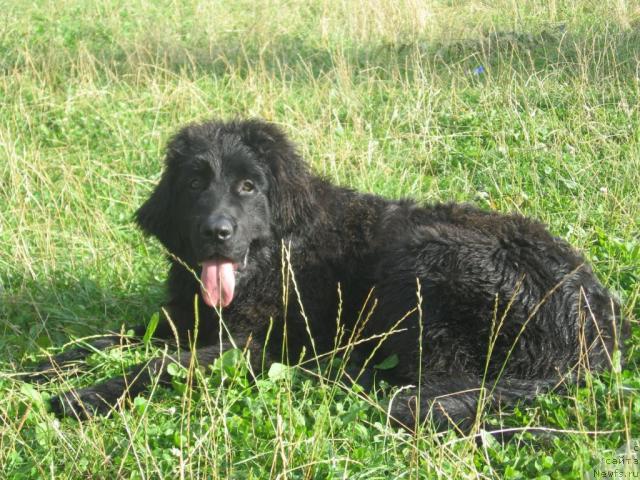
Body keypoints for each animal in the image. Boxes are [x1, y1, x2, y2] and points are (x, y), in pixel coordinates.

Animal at [41, 119, 624, 432]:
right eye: (193, 184)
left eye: (249, 186)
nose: (217, 232)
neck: (275, 258)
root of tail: (599, 329)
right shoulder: (179, 320)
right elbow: (100, 341)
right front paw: (42, 370)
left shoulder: (251, 346)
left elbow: (159, 366)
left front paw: (84, 397)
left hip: (425, 255)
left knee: (442, 376)